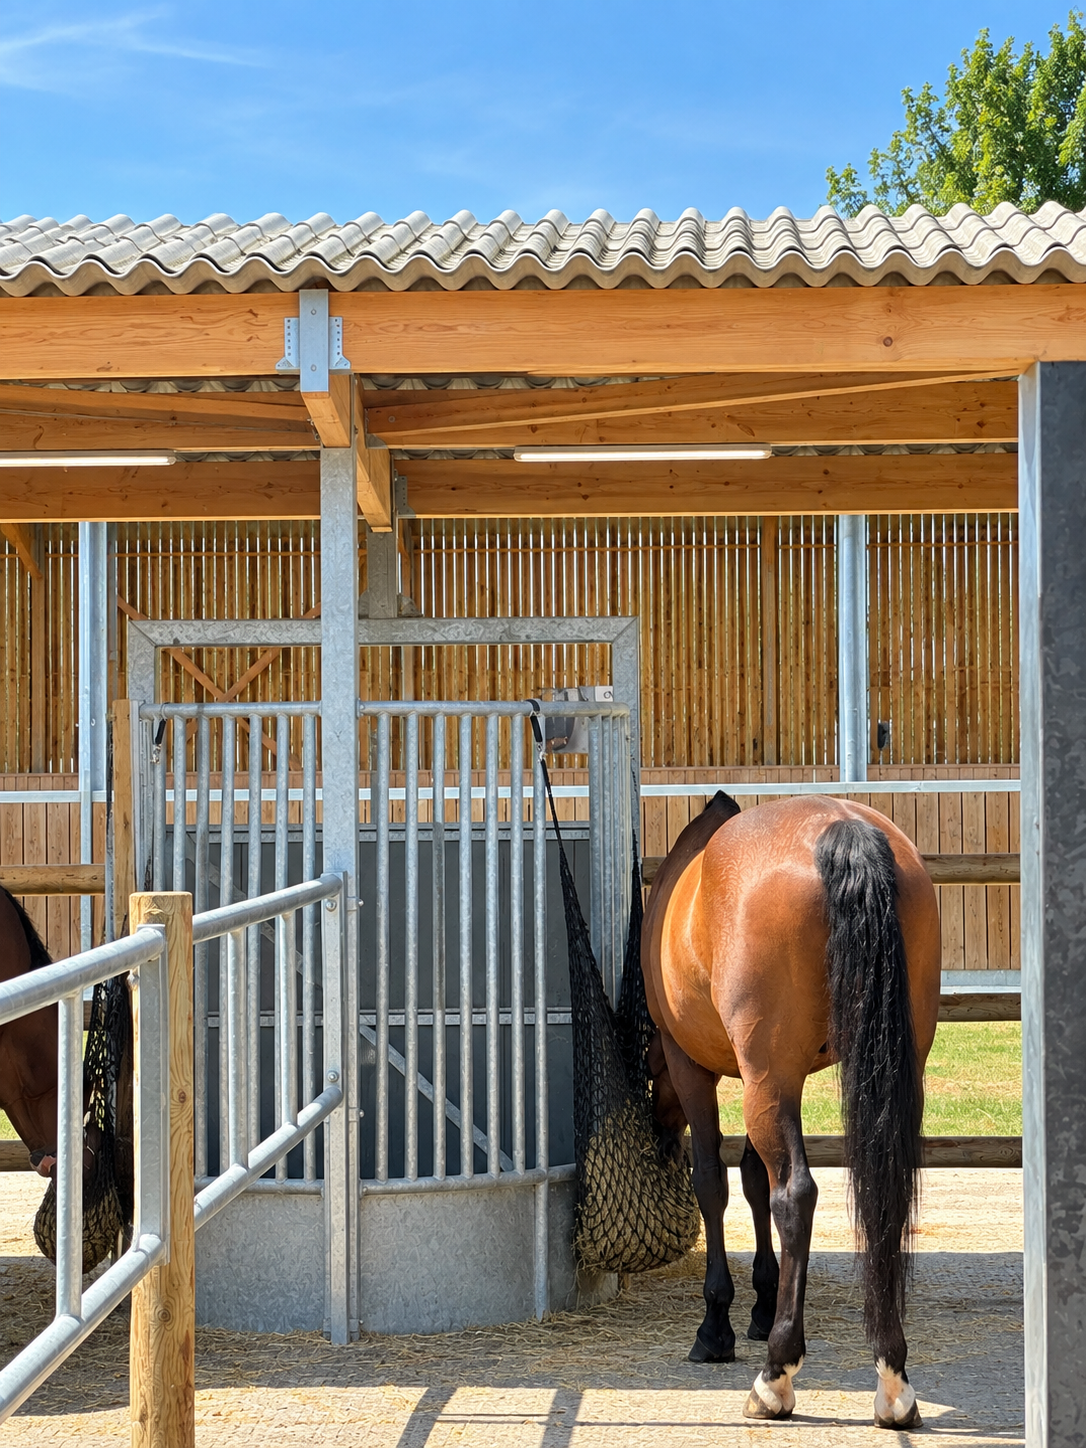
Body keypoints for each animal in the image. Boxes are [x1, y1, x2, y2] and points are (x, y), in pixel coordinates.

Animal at [642, 791, 941, 1430]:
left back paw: (775, 1378)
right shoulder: (772, 1078)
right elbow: (755, 1179)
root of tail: (841, 829)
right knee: (883, 1194)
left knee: (796, 1195)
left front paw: (719, 1325)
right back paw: (892, 1379)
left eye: (652, 1073)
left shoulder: (697, 1067)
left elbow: (716, 1182)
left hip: (767, 1077)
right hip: (880, 1070)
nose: (660, 1136)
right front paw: (761, 1301)